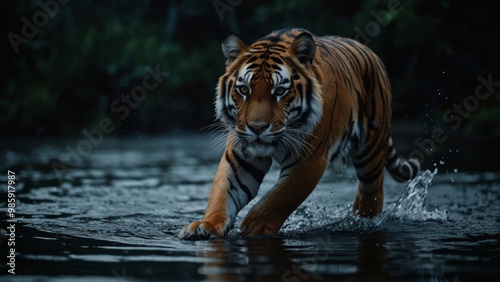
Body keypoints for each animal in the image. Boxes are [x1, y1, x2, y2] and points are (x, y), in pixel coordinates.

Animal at [178, 27, 420, 240]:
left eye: (280, 91)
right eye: (244, 89)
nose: (257, 128)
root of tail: (371, 53)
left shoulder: (311, 158)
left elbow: (283, 196)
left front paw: (255, 225)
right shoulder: (240, 155)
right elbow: (222, 193)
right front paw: (204, 226)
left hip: (371, 151)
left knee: (373, 192)